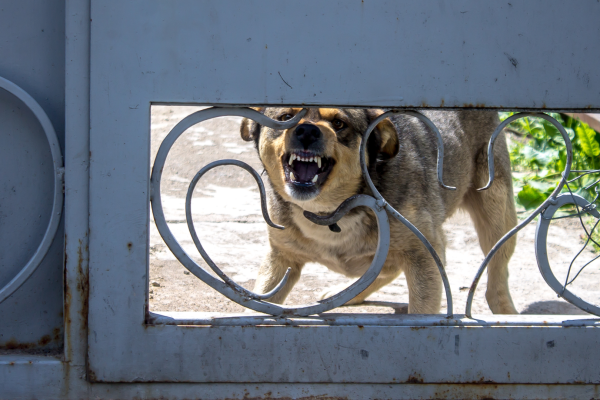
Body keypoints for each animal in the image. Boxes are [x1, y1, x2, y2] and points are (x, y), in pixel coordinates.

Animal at [241, 108, 516, 314]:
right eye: (285, 116)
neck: (332, 212)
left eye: (339, 123)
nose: (307, 130)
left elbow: (422, 308)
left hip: (497, 215)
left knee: (496, 277)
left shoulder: (423, 254)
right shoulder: (281, 258)